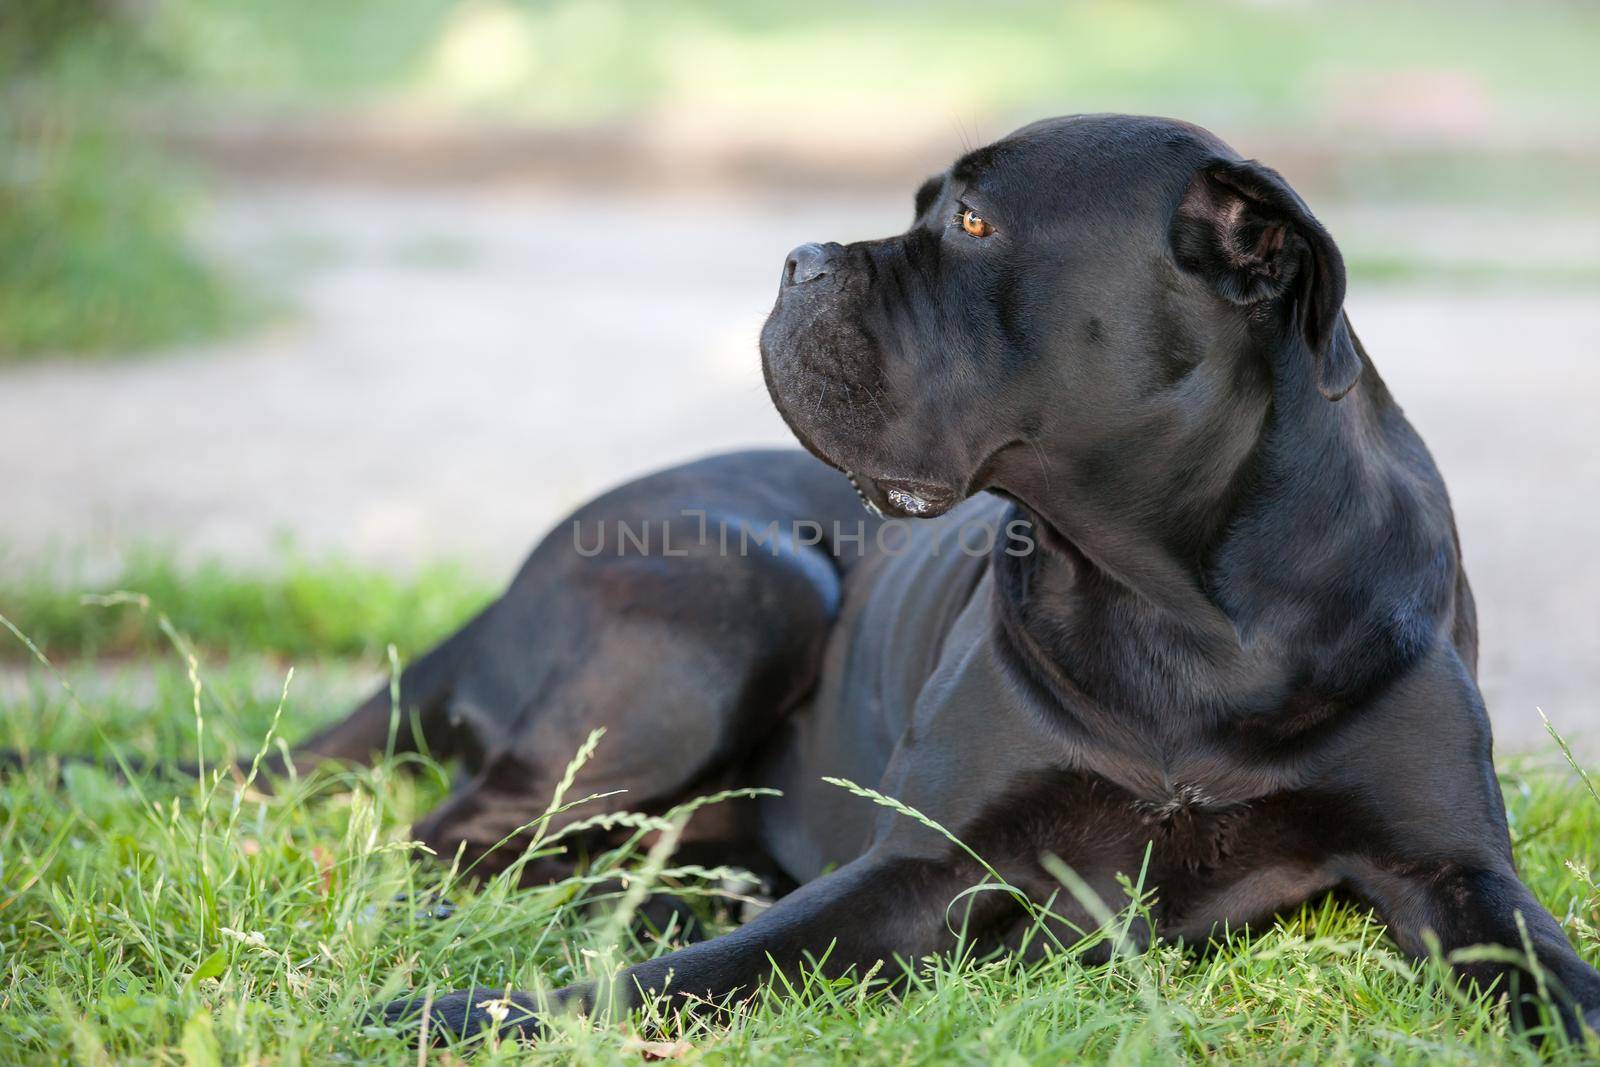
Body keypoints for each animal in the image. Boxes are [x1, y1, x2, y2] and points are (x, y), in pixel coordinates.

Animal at [288, 116, 1600, 1043]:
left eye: (969, 222)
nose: (799, 258)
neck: (1181, 608)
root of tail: (496, 595)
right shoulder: (923, 861)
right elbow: (695, 973)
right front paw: (470, 1013)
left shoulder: (1450, 866)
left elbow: (1556, 975)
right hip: (743, 588)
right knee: (454, 839)